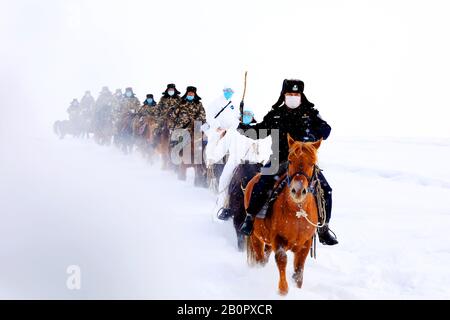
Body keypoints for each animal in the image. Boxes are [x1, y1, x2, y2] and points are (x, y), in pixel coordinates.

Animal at [244, 135, 322, 296]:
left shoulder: (305, 244)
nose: (298, 191)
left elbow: (299, 270)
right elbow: (281, 259)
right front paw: (283, 290)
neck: (297, 211)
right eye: (290, 160)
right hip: (256, 237)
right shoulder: (278, 238)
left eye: (312, 163)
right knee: (260, 257)